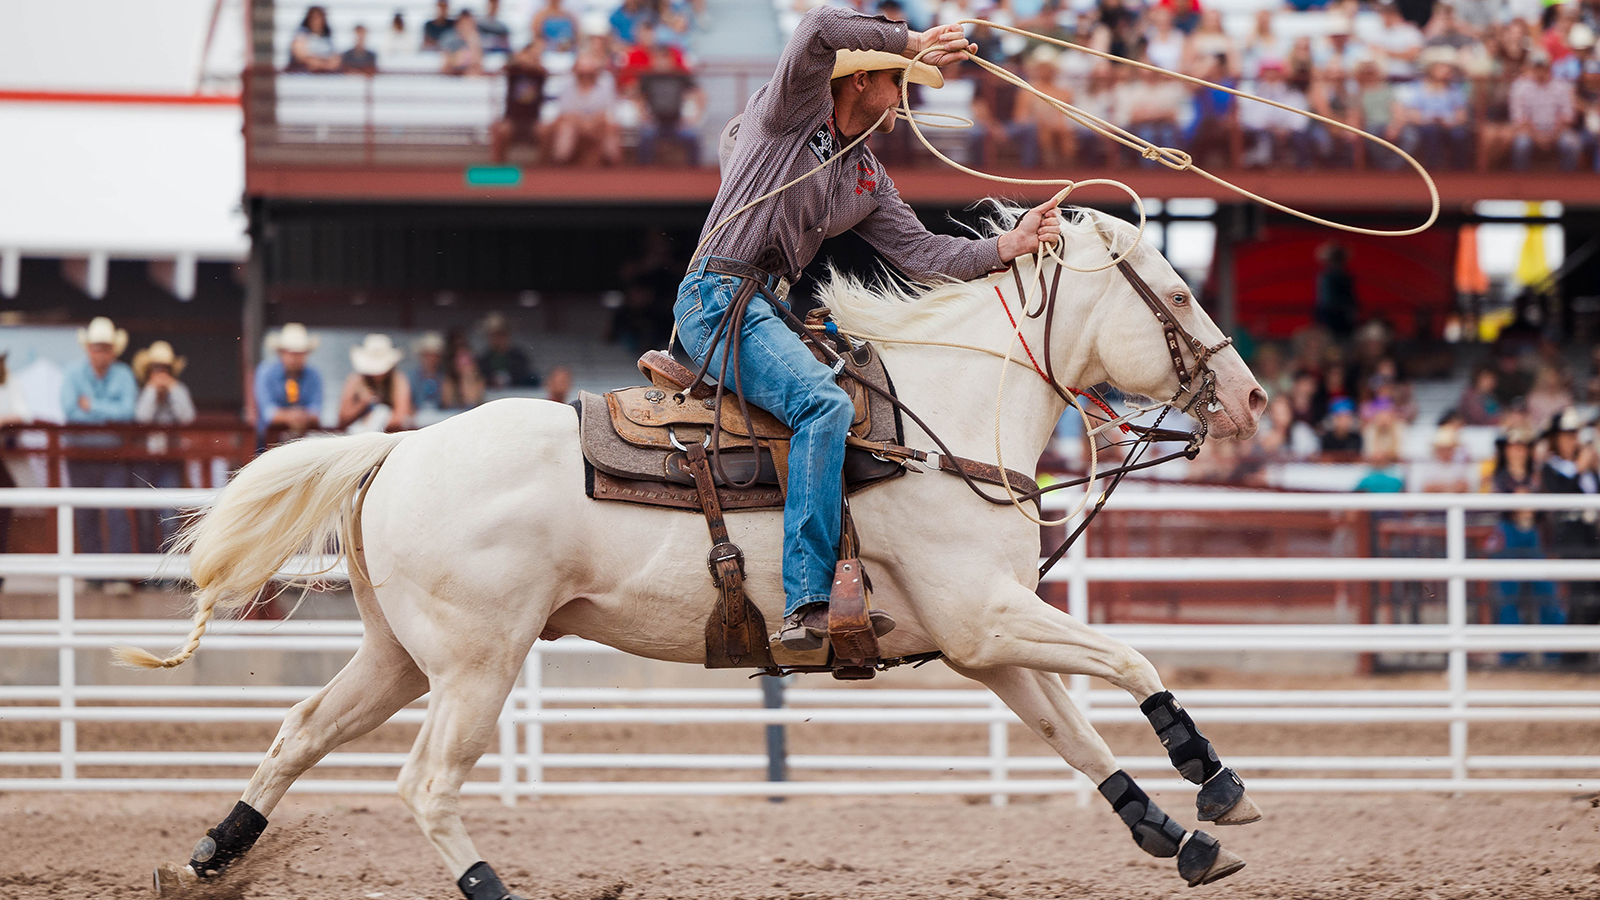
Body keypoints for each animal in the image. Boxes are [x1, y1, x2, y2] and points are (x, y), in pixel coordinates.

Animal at [134, 204, 1260, 896]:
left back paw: (207, 856)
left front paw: (1178, 839)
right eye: (1177, 291)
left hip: (400, 656)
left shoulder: (981, 643)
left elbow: (1076, 737)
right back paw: (488, 884)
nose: (1250, 398)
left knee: (299, 733)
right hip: (476, 664)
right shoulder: (990, 619)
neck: (940, 423)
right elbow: (1130, 659)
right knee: (424, 784)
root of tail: (397, 449)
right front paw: (1214, 782)